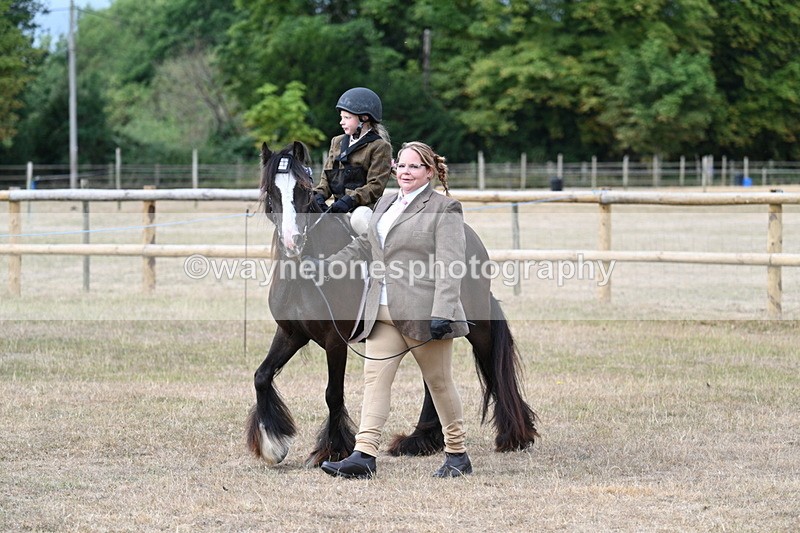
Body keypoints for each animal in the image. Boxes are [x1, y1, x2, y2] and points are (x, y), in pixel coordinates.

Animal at [246, 141, 538, 467]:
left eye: (304, 190)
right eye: (270, 190)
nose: (292, 240)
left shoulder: (335, 340)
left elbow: (333, 393)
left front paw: (331, 449)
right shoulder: (291, 333)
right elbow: (261, 376)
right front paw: (273, 444)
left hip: (476, 328)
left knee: (491, 365)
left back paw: (514, 435)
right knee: (432, 381)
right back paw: (420, 440)